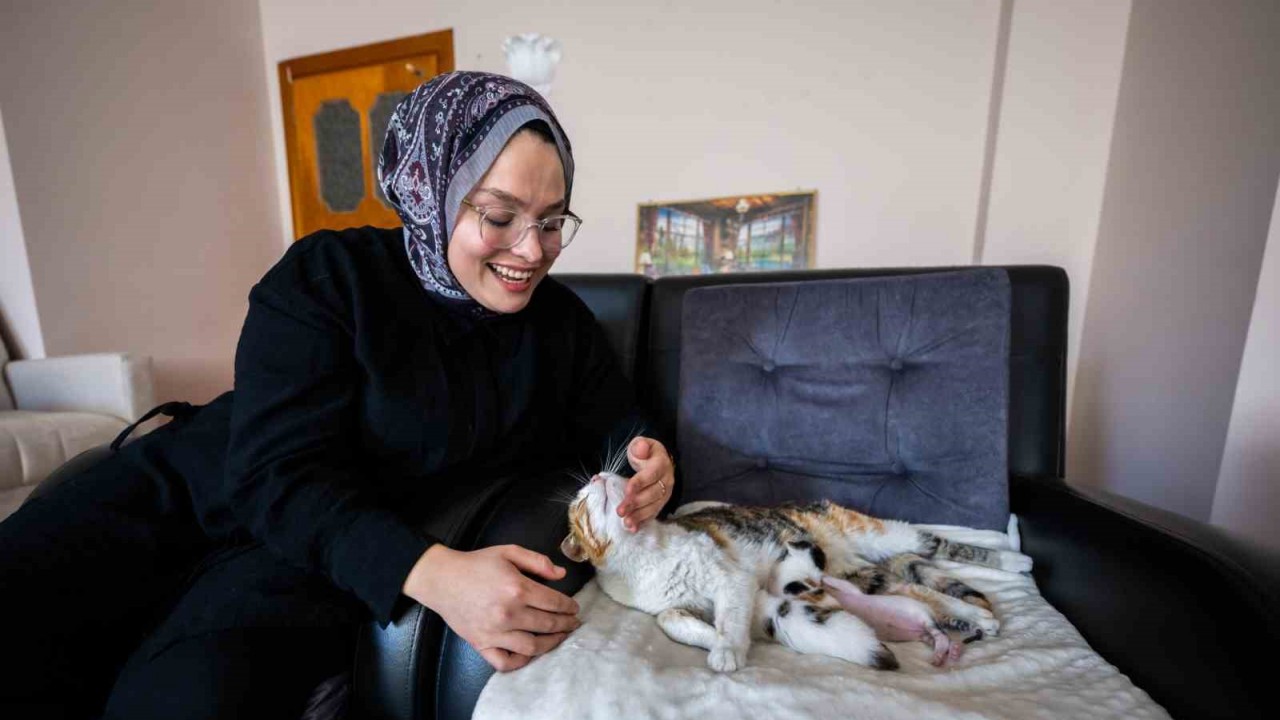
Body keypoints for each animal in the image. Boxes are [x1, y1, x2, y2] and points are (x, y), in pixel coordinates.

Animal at [560, 470, 1031, 673]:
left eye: (620, 474)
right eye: (581, 501)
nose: (599, 474)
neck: (645, 552)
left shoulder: (731, 579)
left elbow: (731, 615)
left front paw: (729, 648)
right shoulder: (668, 606)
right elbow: (672, 621)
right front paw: (712, 638)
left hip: (879, 533)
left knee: (936, 544)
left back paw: (1012, 561)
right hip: (859, 573)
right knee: (922, 590)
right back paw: (970, 616)